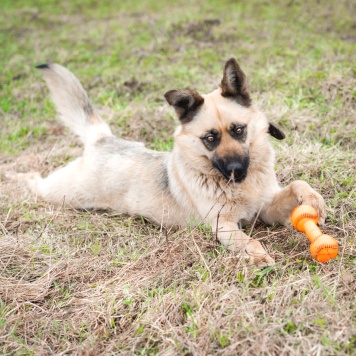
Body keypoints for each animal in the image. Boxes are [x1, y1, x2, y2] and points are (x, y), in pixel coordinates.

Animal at [13, 58, 326, 268]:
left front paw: (315, 201)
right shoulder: (223, 225)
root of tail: (103, 139)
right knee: (35, 181)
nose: (235, 171)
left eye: (239, 130)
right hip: (62, 193)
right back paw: (15, 177)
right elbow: (246, 240)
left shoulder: (267, 208)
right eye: (210, 138)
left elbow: (298, 184)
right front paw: (257, 254)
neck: (241, 187)